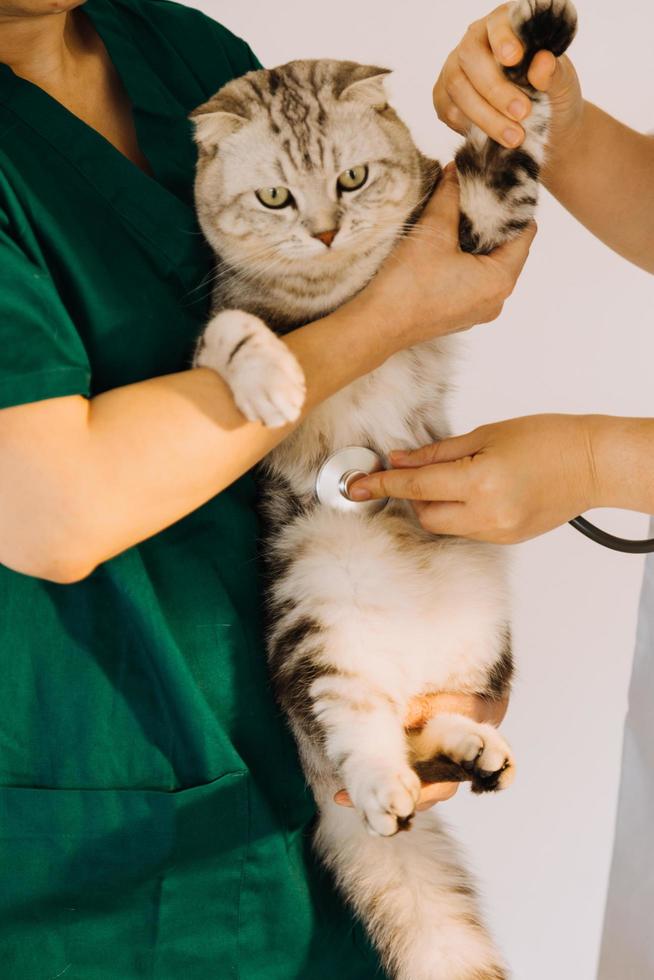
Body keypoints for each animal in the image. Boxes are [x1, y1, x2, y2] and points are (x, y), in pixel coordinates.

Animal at [191, 3, 580, 976]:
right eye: (277, 198)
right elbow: (233, 331)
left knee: (420, 726)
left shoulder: (483, 220)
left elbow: (500, 150)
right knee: (365, 744)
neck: (335, 292)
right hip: (315, 634)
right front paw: (271, 381)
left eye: (354, 178)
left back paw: (477, 752)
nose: (328, 230)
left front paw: (528, 46)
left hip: (485, 642)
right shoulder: (217, 322)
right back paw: (388, 789)